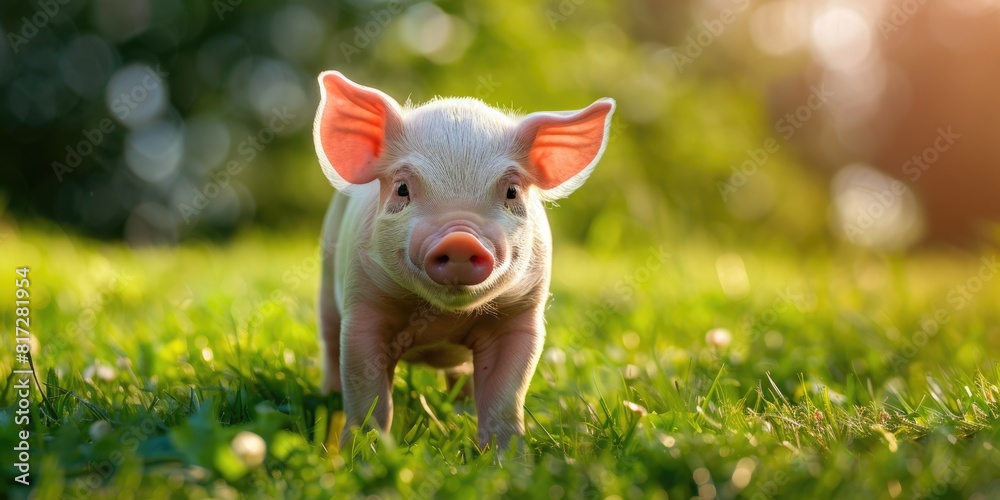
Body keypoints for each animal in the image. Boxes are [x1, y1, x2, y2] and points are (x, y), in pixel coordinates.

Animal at [313, 70, 615, 449]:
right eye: (402, 188)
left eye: (512, 192)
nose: (459, 238)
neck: (442, 321)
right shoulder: (362, 310)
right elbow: (369, 399)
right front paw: (363, 454)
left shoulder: (521, 318)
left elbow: (504, 400)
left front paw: (508, 459)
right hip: (326, 282)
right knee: (329, 346)